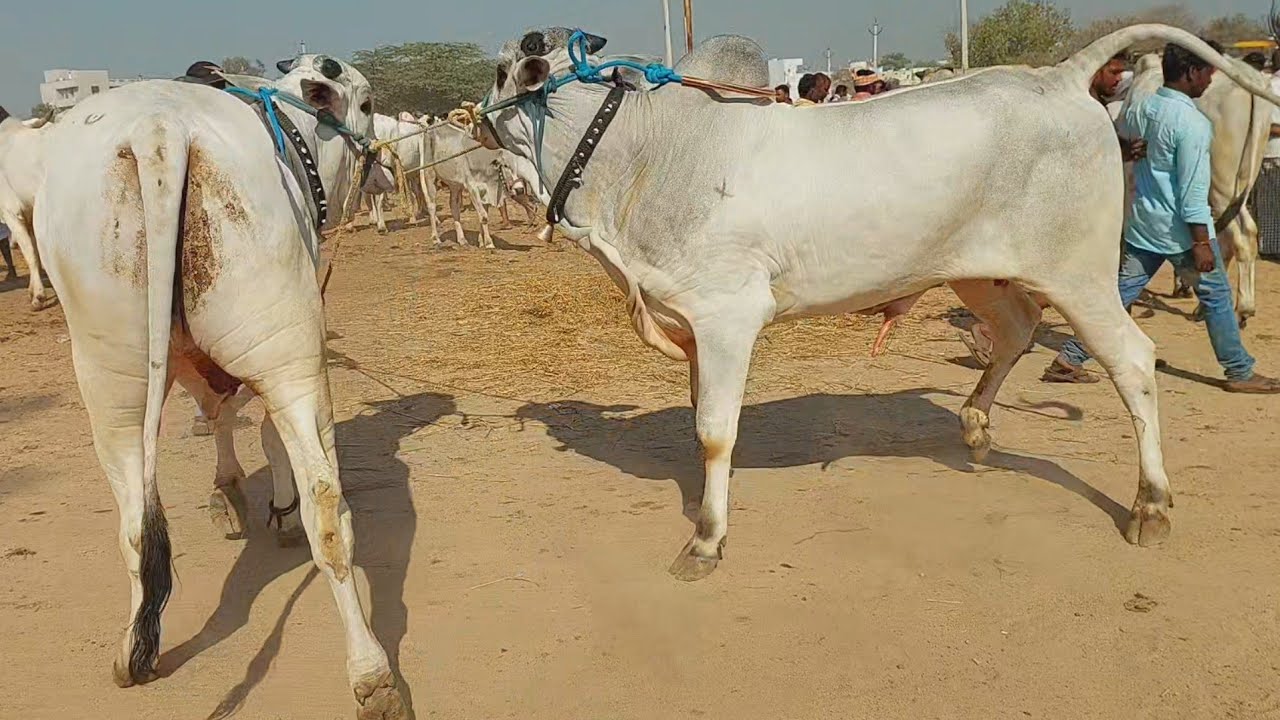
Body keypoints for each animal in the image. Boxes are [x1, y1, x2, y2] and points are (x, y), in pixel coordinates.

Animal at [31, 56, 408, 718]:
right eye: (365, 103)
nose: (384, 165)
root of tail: (158, 132)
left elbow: (218, 409)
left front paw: (227, 492)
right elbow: (252, 427)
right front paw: (257, 503)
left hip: (112, 375)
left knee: (137, 516)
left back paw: (135, 653)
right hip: (286, 348)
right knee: (326, 503)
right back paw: (372, 675)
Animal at [481, 25, 1280, 581]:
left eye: (497, 72)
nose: (474, 122)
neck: (647, 154)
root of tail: (1059, 78)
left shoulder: (728, 315)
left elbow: (713, 430)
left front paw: (706, 539)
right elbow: (699, 417)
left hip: (1078, 273)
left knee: (1134, 361)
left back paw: (1151, 504)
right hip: (978, 273)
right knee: (1017, 331)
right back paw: (976, 425)